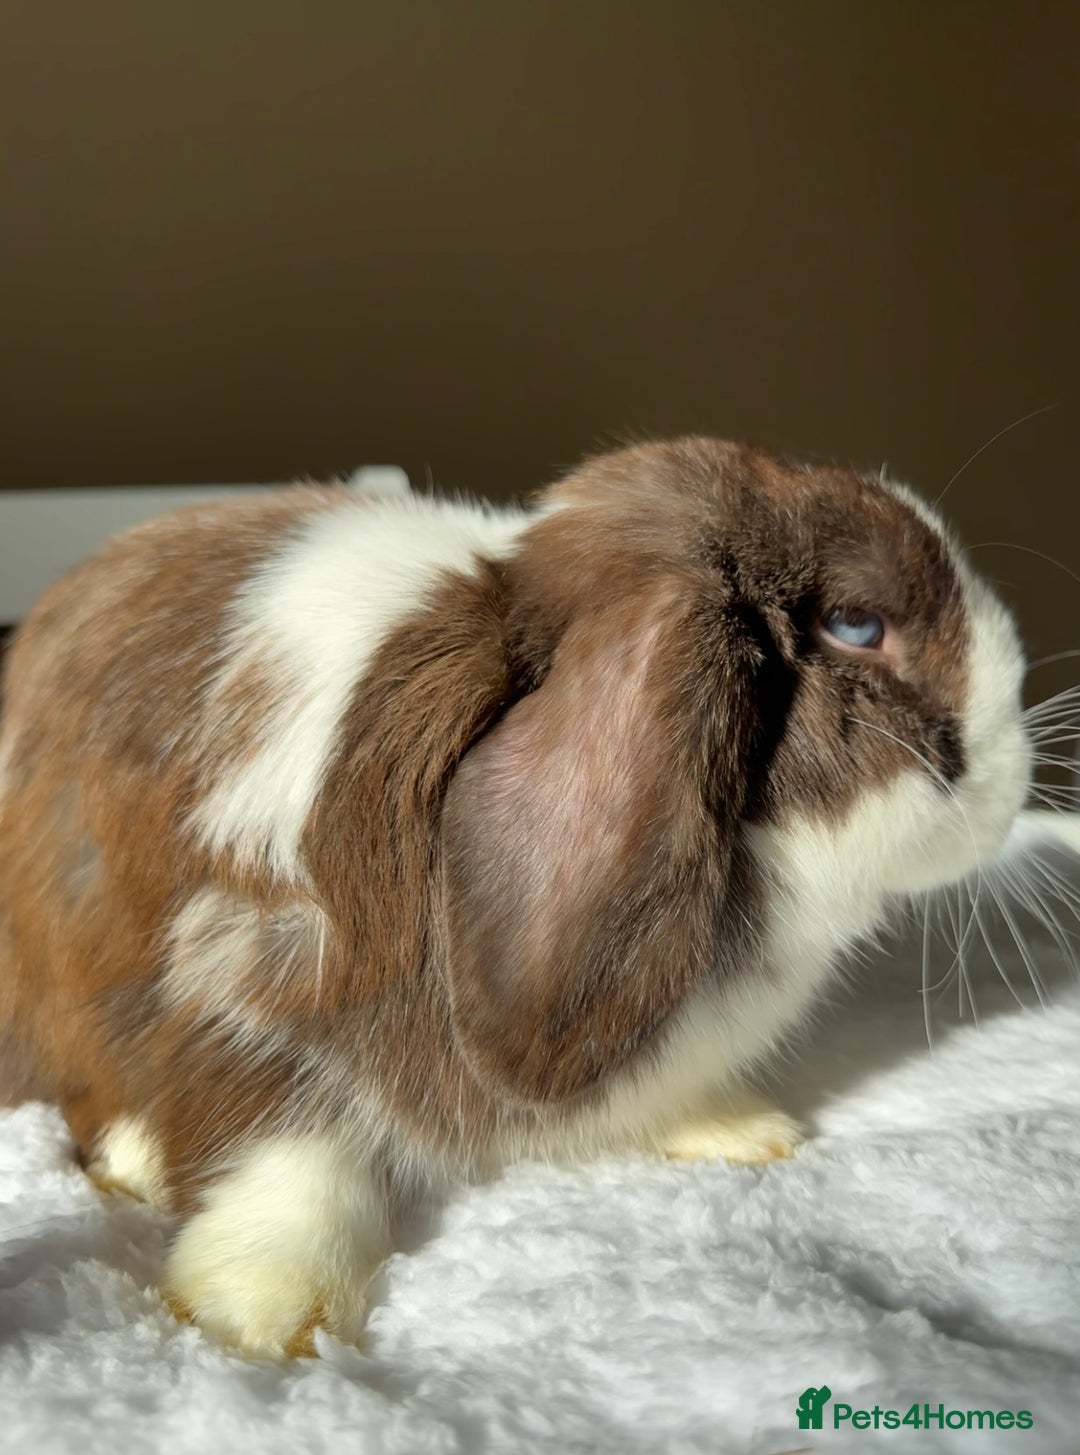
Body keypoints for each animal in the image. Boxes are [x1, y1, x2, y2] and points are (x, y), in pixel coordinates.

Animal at [0, 437, 1032, 1356]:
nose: (1018, 766)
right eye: (857, 625)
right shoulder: (239, 978)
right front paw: (260, 1311)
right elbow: (285, 1152)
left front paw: (741, 1129)